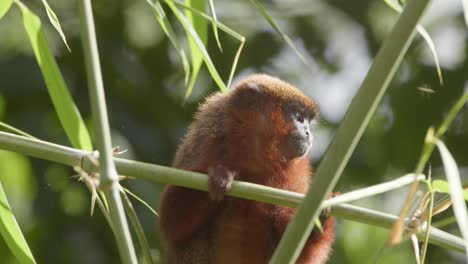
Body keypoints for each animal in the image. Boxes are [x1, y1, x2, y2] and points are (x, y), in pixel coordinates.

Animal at [159, 73, 334, 262]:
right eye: (298, 116)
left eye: (308, 121)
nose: (309, 133)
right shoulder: (206, 138)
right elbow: (173, 223)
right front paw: (220, 175)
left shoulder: (298, 170)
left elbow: (299, 253)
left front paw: (317, 222)